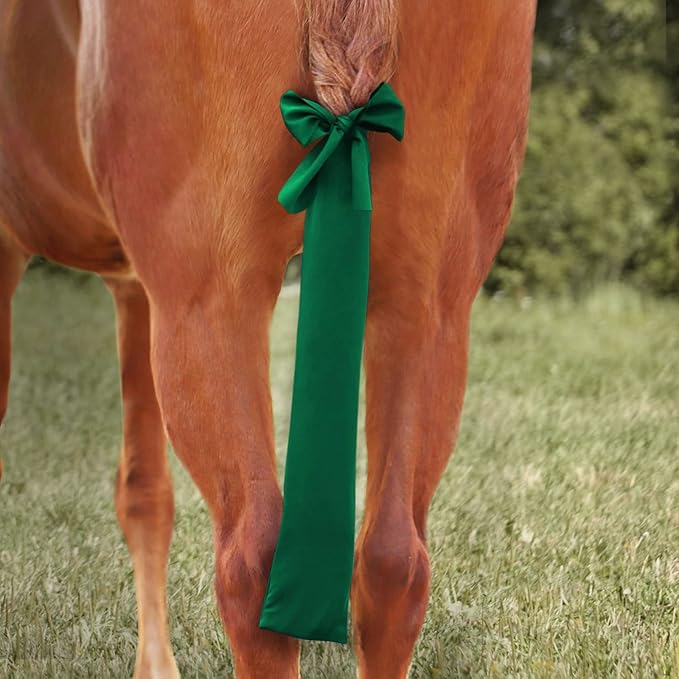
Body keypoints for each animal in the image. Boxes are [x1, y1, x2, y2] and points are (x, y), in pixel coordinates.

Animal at [0, 1, 536, 676]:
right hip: (428, 305)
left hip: (208, 304)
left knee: (251, 565)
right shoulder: (134, 289)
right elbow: (145, 493)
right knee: (393, 563)